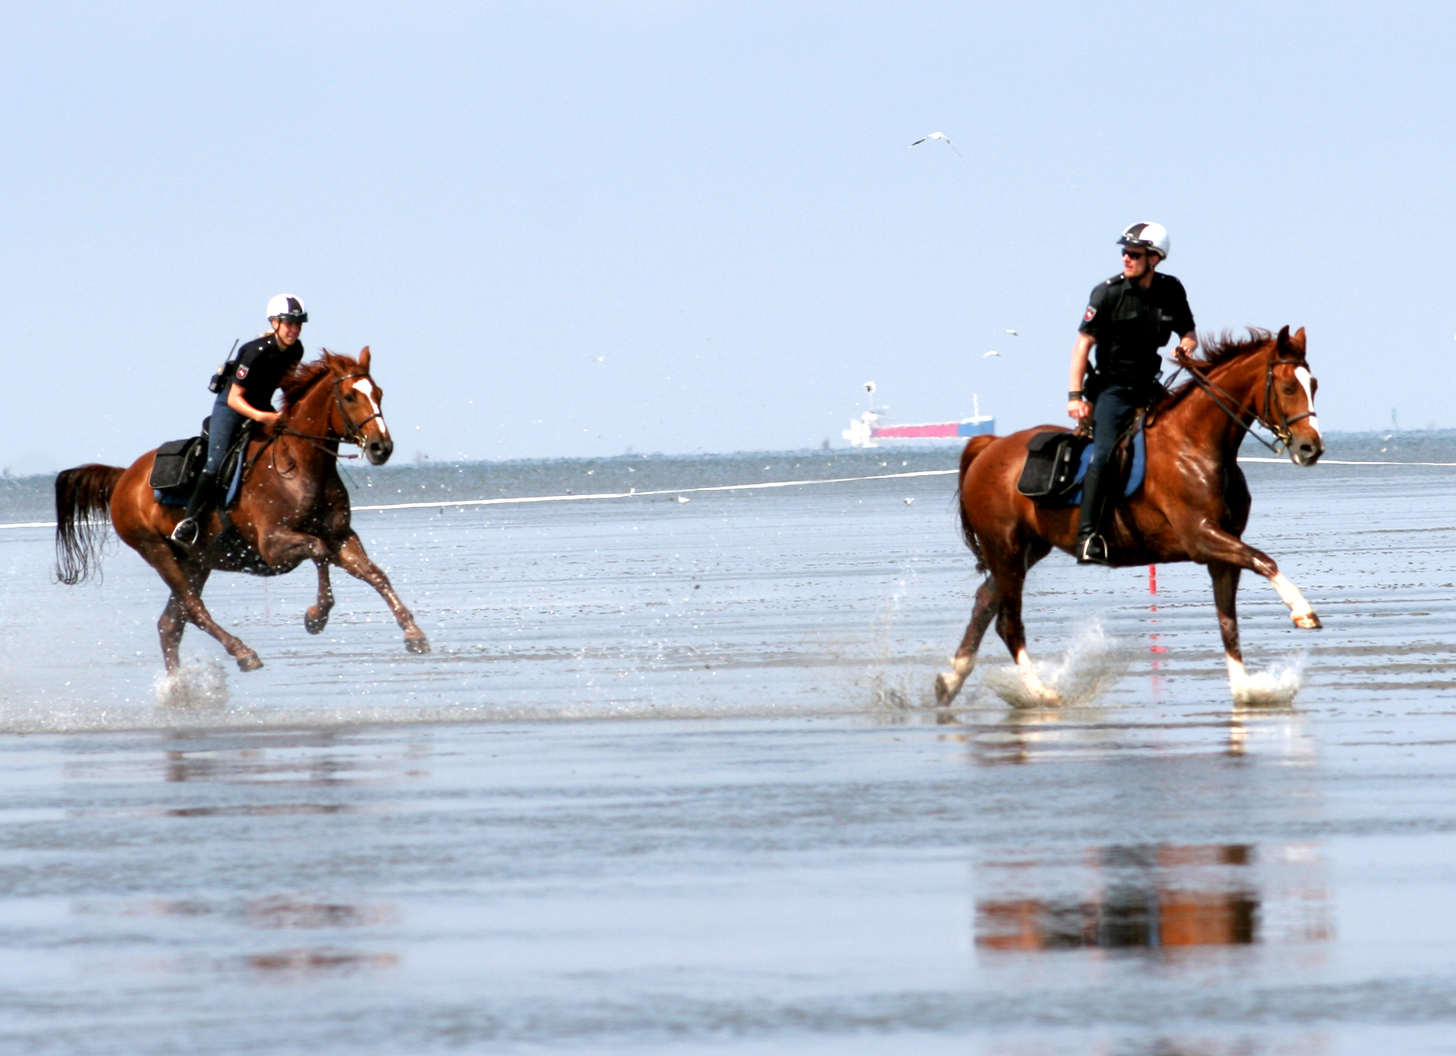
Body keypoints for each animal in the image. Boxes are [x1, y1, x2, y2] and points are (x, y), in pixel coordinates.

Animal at [53, 349, 428, 670]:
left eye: (379, 393)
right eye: (350, 396)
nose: (381, 447)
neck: (301, 466)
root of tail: (124, 478)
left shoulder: (342, 537)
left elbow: (375, 574)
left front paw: (413, 633)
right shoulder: (274, 545)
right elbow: (318, 551)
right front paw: (316, 617)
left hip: (195, 561)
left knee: (170, 624)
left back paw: (180, 689)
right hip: (156, 551)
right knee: (194, 610)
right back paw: (243, 653)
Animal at [937, 324, 1327, 704]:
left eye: (1314, 385)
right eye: (1288, 387)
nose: (1311, 448)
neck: (1196, 446)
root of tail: (989, 447)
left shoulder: (1222, 553)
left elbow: (1228, 622)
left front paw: (1244, 688)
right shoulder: (1202, 537)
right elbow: (1265, 561)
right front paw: (1302, 610)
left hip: (1025, 550)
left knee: (985, 602)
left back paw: (951, 680)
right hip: (1006, 548)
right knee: (1008, 623)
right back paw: (1041, 692)